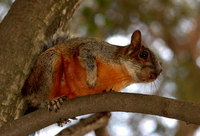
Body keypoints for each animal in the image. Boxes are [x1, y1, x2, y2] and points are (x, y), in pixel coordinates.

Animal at [21, 29, 162, 112]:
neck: (122, 76)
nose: (156, 74)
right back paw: (51, 100)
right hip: (48, 64)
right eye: (143, 54)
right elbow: (87, 58)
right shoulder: (93, 49)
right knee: (41, 96)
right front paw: (92, 79)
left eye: (161, 70)